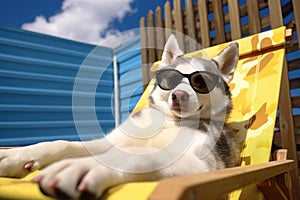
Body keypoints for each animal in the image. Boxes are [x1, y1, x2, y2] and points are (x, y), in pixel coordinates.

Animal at [0, 35, 239, 199]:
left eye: (201, 82)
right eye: (170, 78)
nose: (178, 96)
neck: (168, 122)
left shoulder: (205, 165)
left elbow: (142, 154)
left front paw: (89, 166)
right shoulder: (108, 142)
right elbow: (63, 144)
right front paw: (17, 156)